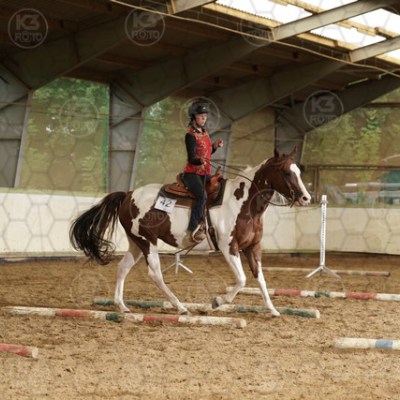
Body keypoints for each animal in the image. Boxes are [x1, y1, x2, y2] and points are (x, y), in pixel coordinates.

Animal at [69, 147, 311, 316]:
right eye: (286, 173)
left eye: (299, 171)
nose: (306, 198)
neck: (243, 203)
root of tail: (128, 194)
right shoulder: (229, 247)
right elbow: (242, 280)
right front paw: (213, 304)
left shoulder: (253, 247)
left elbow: (260, 279)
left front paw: (272, 309)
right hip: (147, 241)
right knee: (155, 274)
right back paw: (180, 307)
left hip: (136, 243)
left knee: (122, 268)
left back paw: (122, 306)